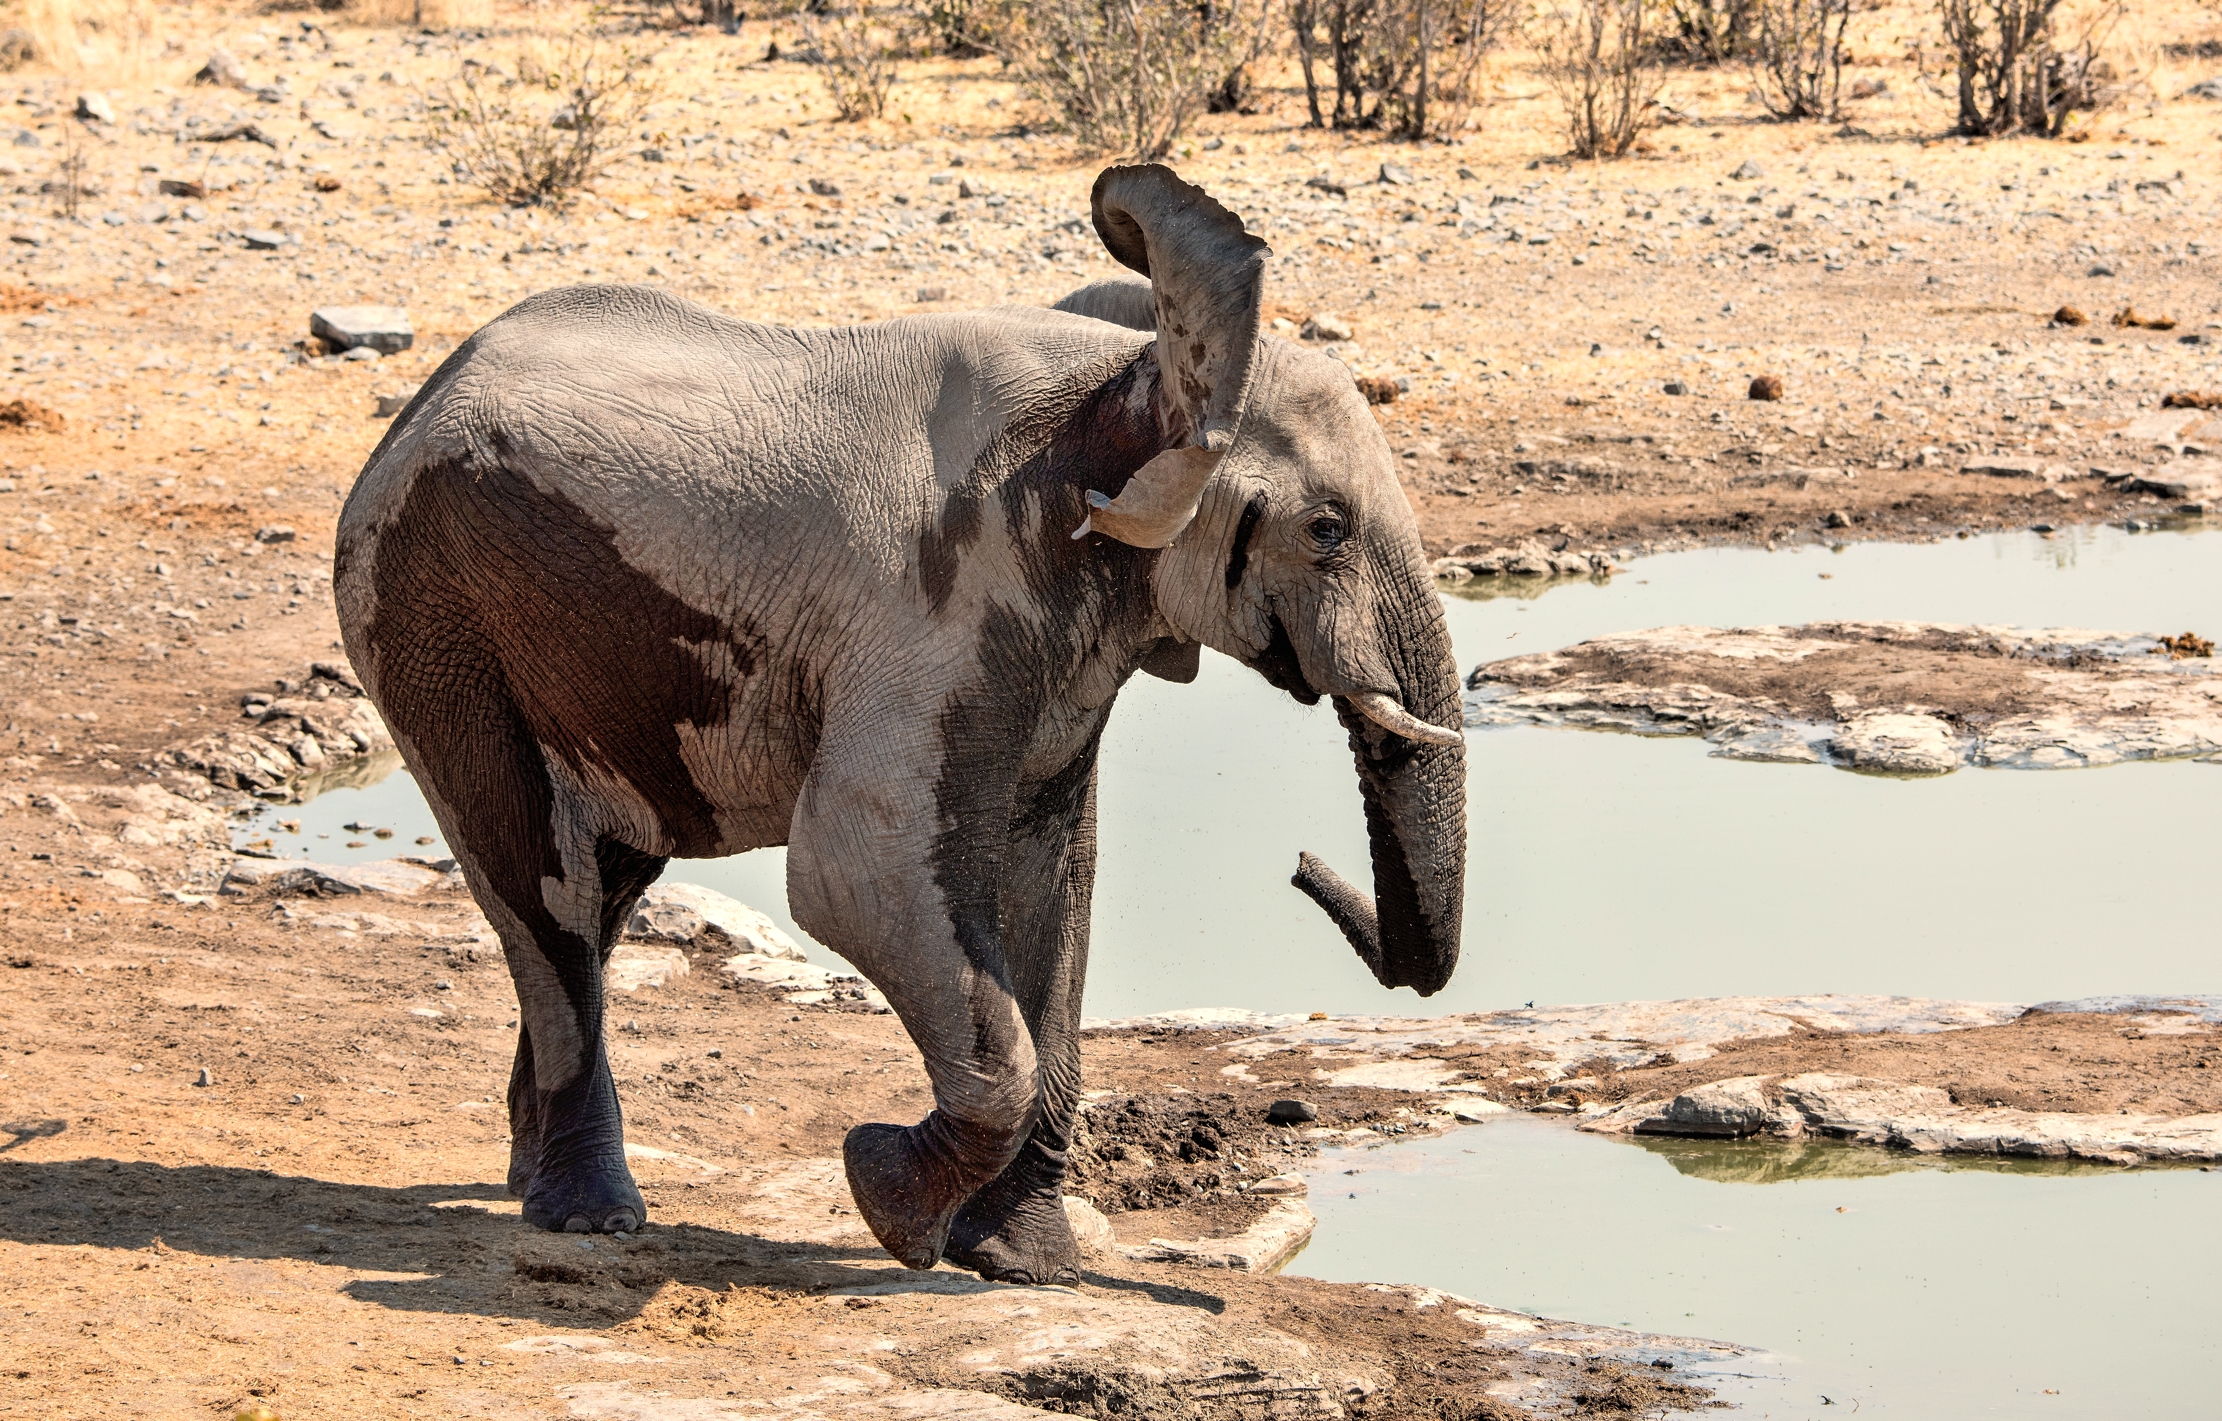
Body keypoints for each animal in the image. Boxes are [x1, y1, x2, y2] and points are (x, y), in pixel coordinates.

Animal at [333, 163, 1466, 1285]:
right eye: (1326, 530)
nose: (1298, 863)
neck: (1119, 381)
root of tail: (423, 395)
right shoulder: (932, 616)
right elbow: (852, 873)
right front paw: (884, 1197)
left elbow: (1054, 885)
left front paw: (1023, 1265)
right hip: (424, 603)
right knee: (541, 889)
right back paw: (589, 1216)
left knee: (604, 885)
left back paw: (529, 1178)